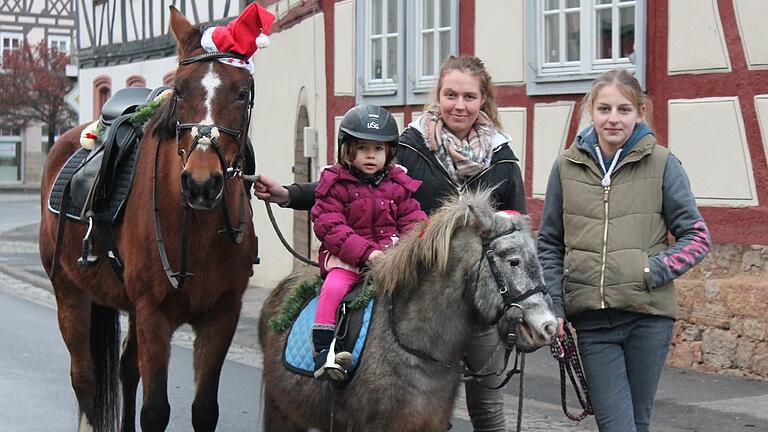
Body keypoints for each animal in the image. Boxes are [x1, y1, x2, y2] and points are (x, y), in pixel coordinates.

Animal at [38, 7, 258, 432]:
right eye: (182, 90)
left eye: (242, 93)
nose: (201, 183)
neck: (196, 225)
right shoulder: (154, 316)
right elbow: (155, 410)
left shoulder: (222, 316)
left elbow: (204, 410)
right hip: (69, 293)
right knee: (85, 377)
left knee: (125, 369)